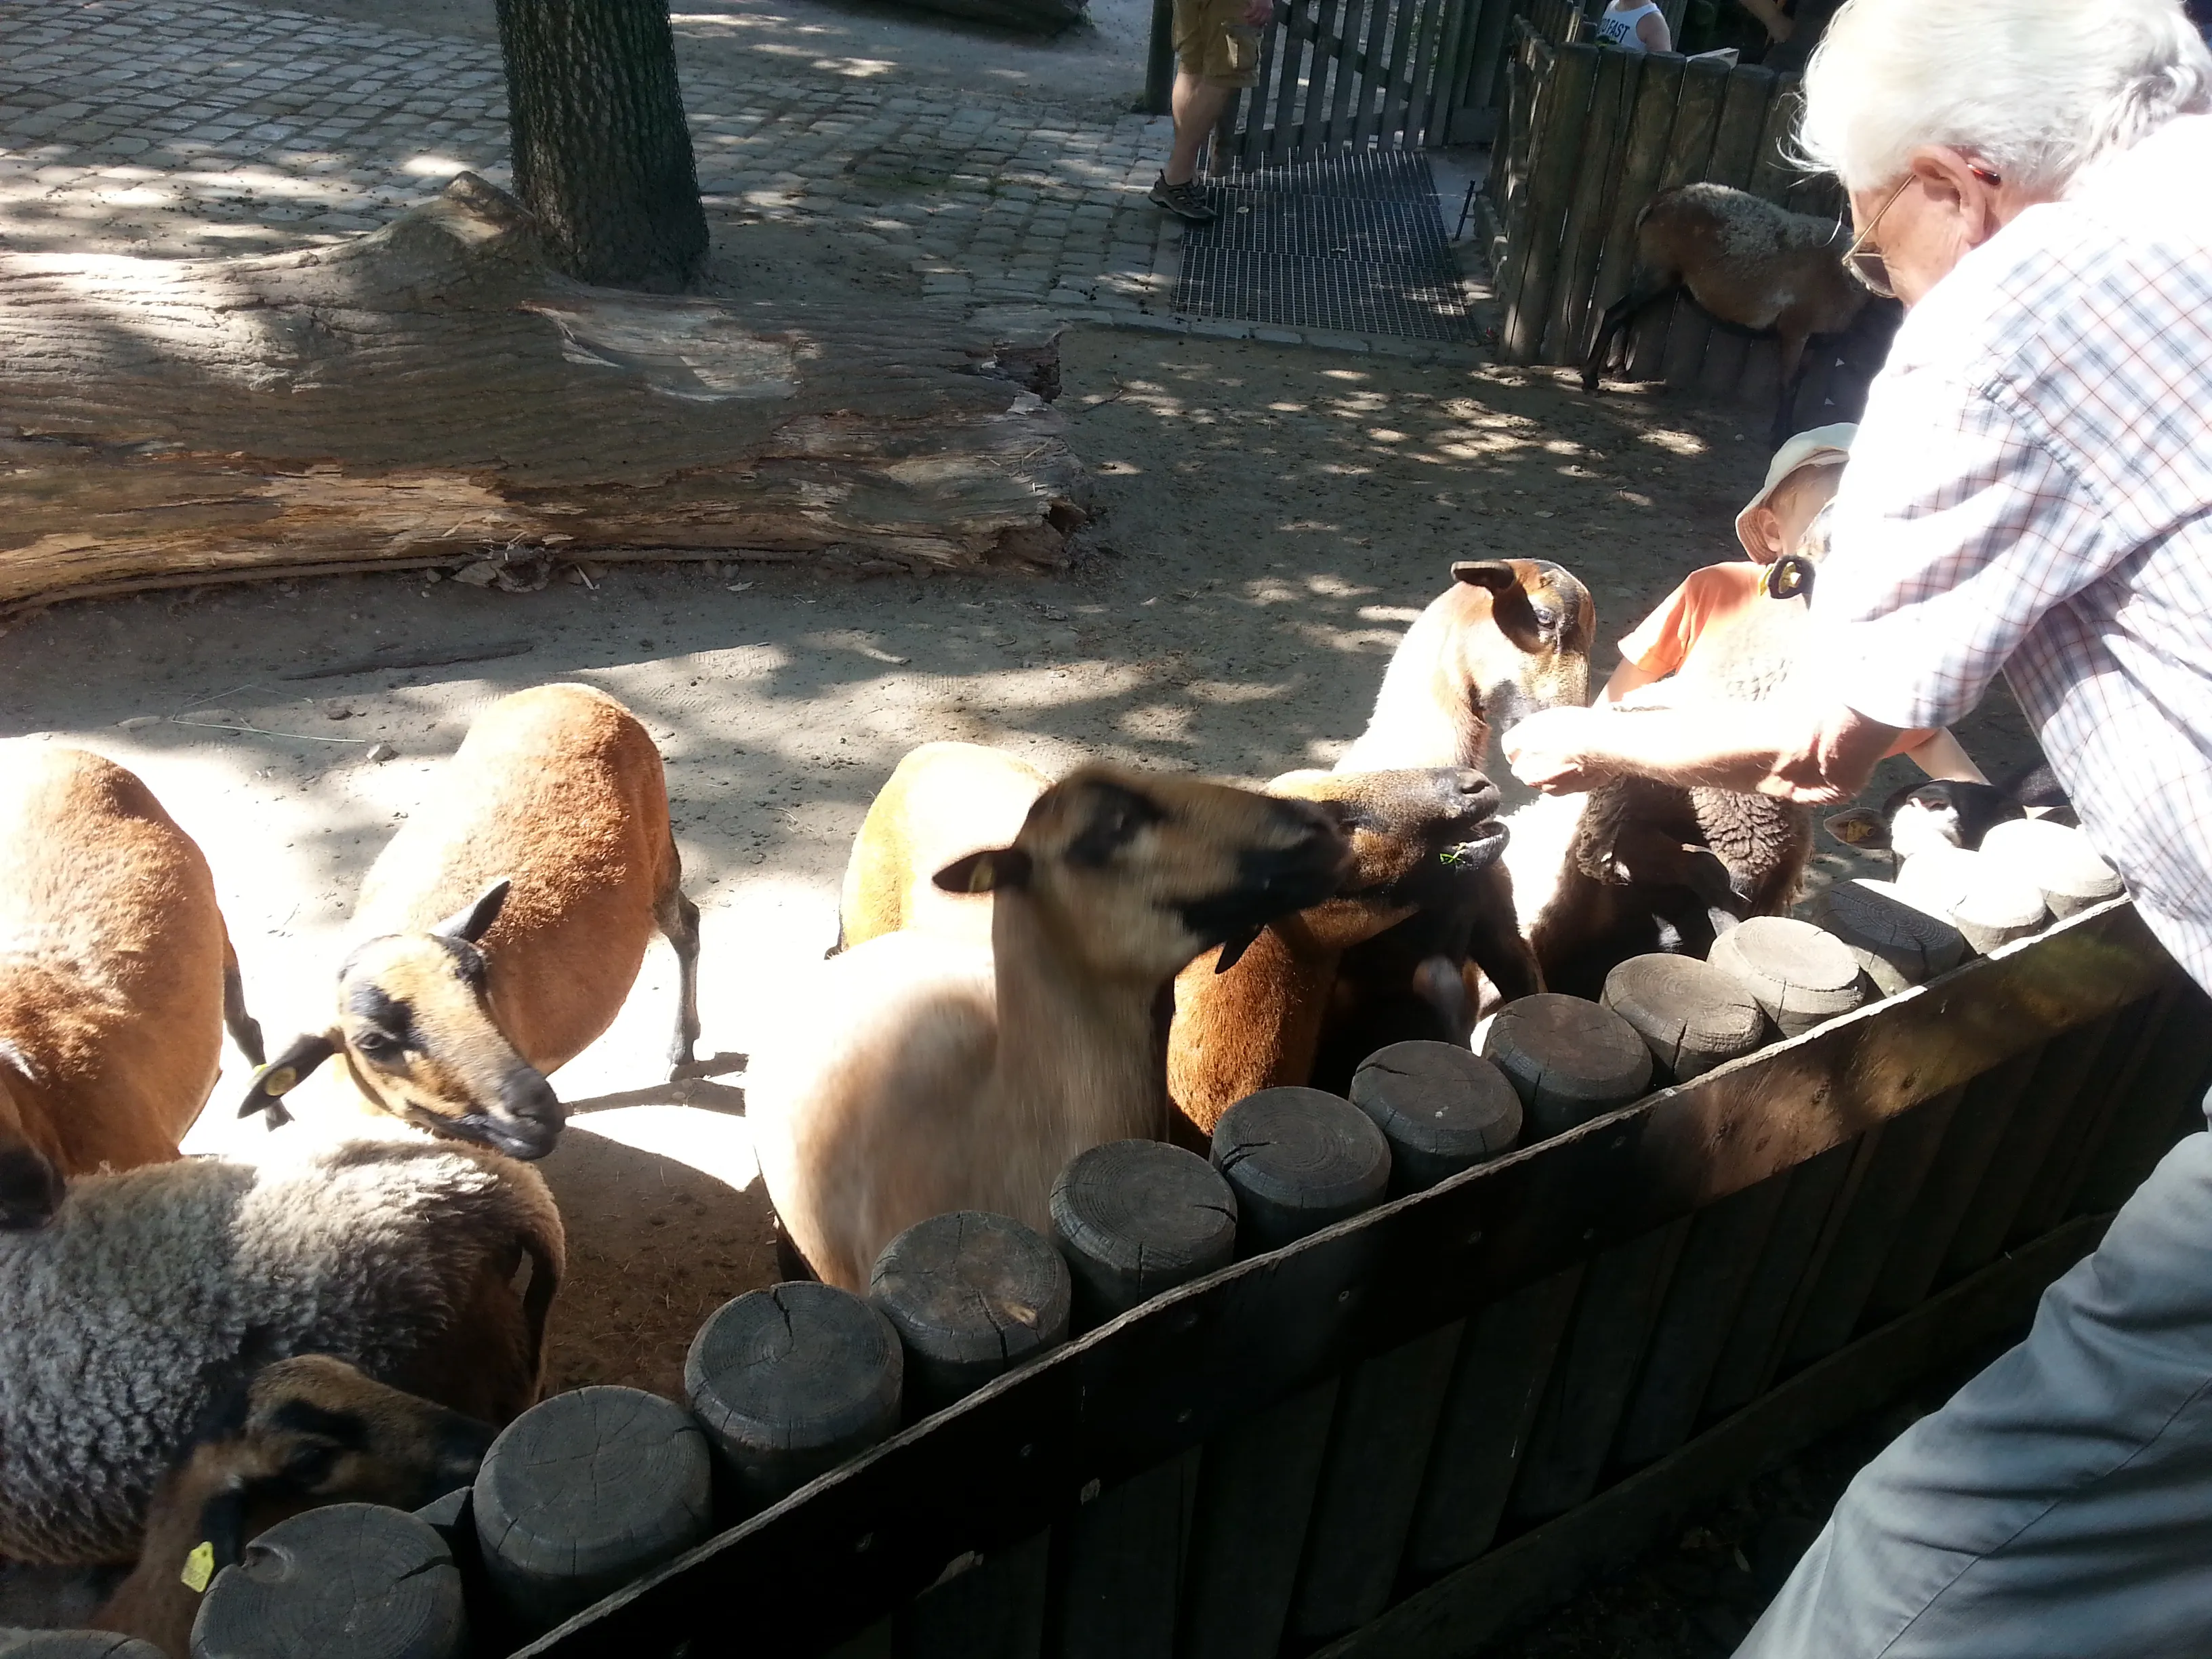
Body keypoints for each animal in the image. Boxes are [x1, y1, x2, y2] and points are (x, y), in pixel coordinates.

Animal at [241, 683, 700, 1162]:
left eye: (480, 979)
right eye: (372, 1042)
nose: (538, 1111)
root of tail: (574, 689)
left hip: (660, 859)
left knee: (686, 927)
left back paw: (681, 1049)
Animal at [1580, 183, 1896, 447]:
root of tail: (1661, 199)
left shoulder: (1813, 338)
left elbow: (1797, 382)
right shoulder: (1795, 327)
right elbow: (1788, 382)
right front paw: (1779, 436)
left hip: (1661, 277)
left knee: (1629, 315)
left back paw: (1616, 371)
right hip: (1658, 270)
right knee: (1614, 313)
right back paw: (1590, 380)